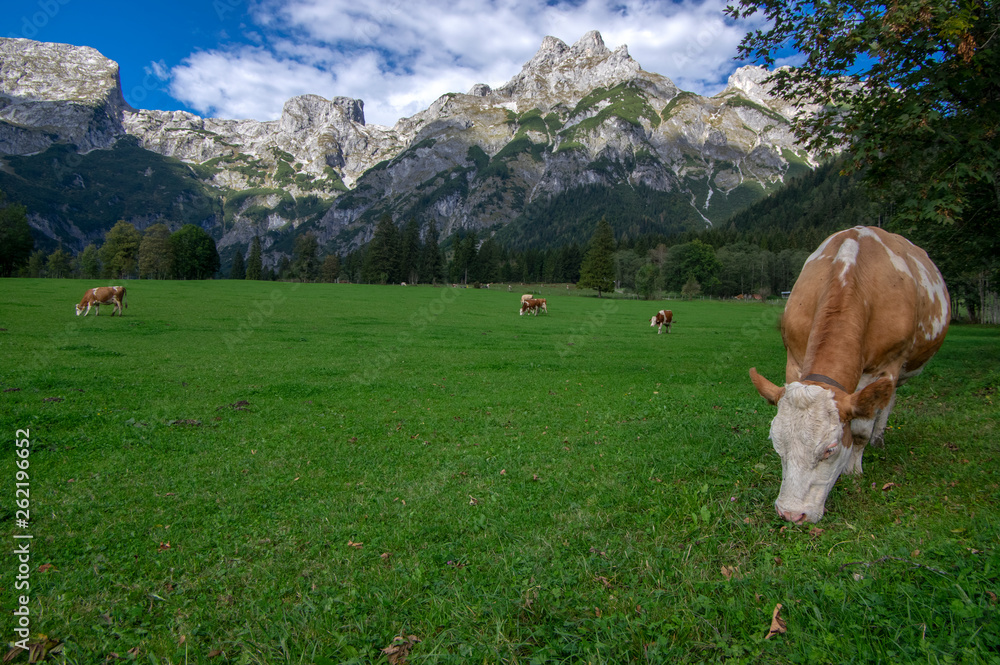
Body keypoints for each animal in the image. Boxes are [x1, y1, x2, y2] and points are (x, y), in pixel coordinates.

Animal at [752, 228, 952, 524]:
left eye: (830, 449)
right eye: (777, 445)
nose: (791, 514)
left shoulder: (882, 367)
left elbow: (859, 430)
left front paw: (853, 469)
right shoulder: (795, 359)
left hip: (898, 371)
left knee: (886, 403)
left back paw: (878, 438)